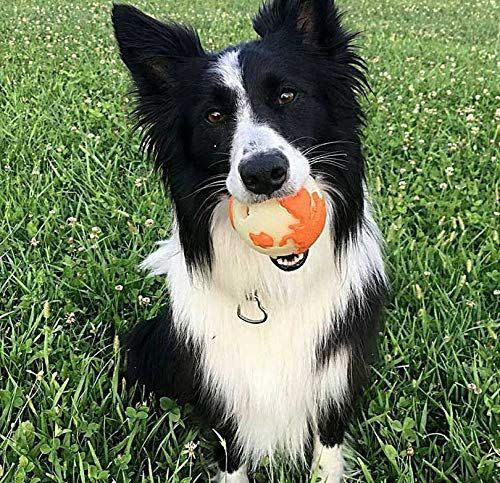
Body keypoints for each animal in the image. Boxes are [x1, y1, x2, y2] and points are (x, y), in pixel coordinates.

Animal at [112, 1, 386, 482]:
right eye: (214, 116)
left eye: (287, 96)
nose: (263, 173)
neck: (277, 287)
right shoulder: (225, 383)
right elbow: (232, 454)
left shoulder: (335, 377)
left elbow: (327, 448)